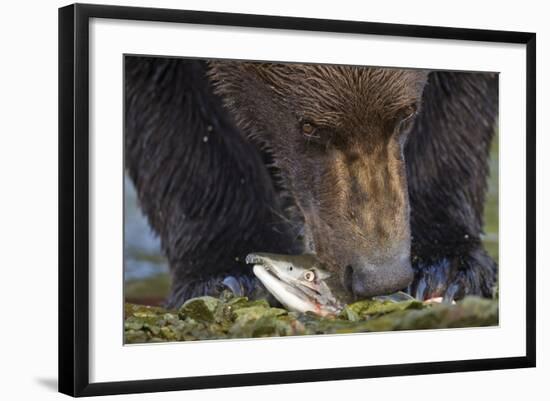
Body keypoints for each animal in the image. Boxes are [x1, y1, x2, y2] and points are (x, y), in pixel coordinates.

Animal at [125, 56, 500, 306]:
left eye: (407, 112)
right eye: (308, 126)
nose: (381, 275)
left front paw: (447, 270)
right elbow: (175, 123)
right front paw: (228, 277)